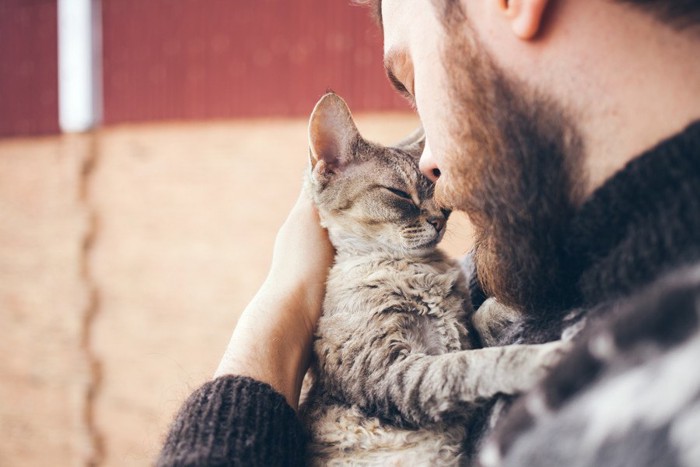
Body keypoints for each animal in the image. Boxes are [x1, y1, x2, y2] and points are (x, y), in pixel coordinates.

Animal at [298, 92, 568, 467]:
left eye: (440, 199)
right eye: (399, 193)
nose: (439, 219)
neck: (420, 269)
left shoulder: (457, 334)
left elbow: (480, 320)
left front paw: (518, 303)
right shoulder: (391, 372)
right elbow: (467, 366)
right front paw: (543, 358)